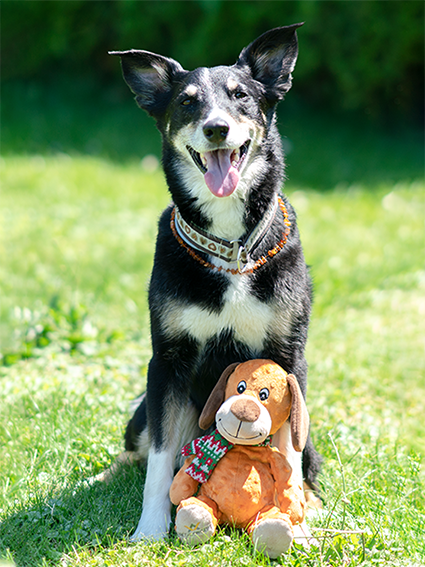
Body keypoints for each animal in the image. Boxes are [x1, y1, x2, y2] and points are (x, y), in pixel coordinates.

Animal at [107, 24, 320, 544]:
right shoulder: (167, 363)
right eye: (186, 102)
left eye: (240, 95)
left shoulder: (289, 357)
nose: (216, 128)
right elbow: (160, 459)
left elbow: (288, 456)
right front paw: (149, 529)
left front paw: (296, 526)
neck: (230, 248)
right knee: (137, 449)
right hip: (144, 409)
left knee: (309, 462)